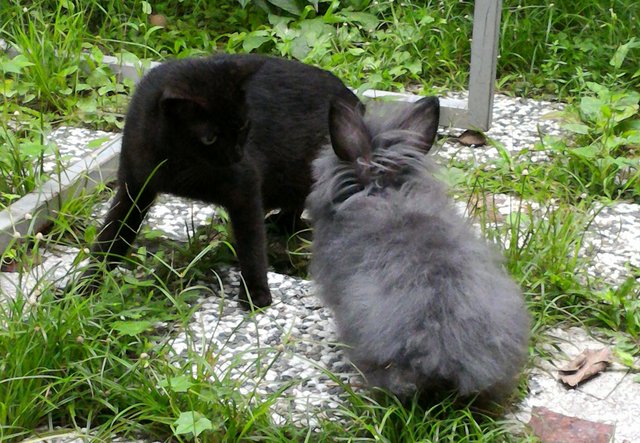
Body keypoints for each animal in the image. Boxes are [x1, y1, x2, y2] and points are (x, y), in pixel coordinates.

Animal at [86, 53, 360, 308]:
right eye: (209, 138)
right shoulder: (134, 188)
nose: (237, 154)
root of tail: (349, 95)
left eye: (243, 126)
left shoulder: (245, 188)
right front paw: (87, 286)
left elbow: (251, 246)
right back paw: (283, 223)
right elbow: (111, 236)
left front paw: (255, 293)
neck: (178, 163)